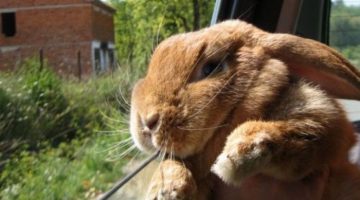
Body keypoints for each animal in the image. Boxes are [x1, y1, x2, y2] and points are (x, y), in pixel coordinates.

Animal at [129, 20, 360, 200]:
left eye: (211, 68)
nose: (147, 122)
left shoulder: (322, 124)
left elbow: (292, 135)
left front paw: (237, 156)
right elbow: (174, 162)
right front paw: (166, 188)